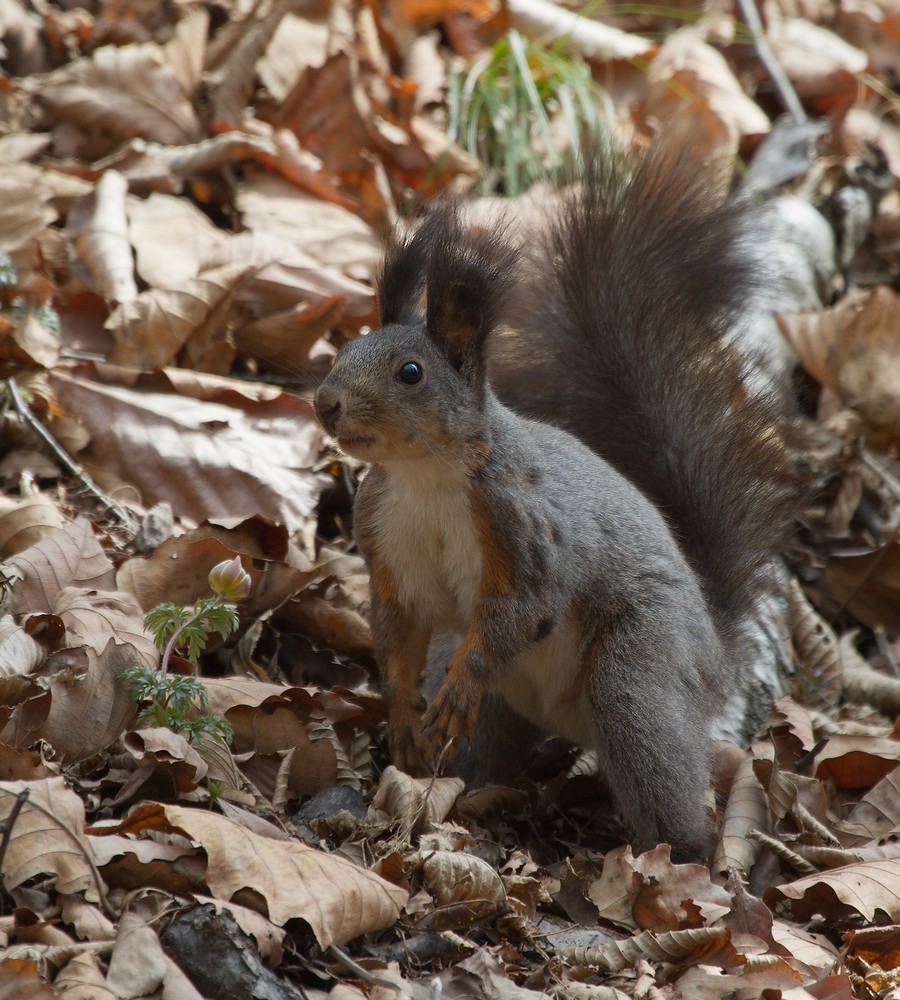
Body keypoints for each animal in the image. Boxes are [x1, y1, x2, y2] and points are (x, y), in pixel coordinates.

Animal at [314, 142, 796, 863]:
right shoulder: (386, 540)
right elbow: (399, 629)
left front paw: (462, 678)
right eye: (343, 348)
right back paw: (461, 788)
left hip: (639, 671)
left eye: (411, 373)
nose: (325, 401)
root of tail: (717, 656)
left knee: (663, 756)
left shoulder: (526, 526)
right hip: (506, 708)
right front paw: (401, 712)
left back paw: (682, 854)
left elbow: (522, 607)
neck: (424, 476)